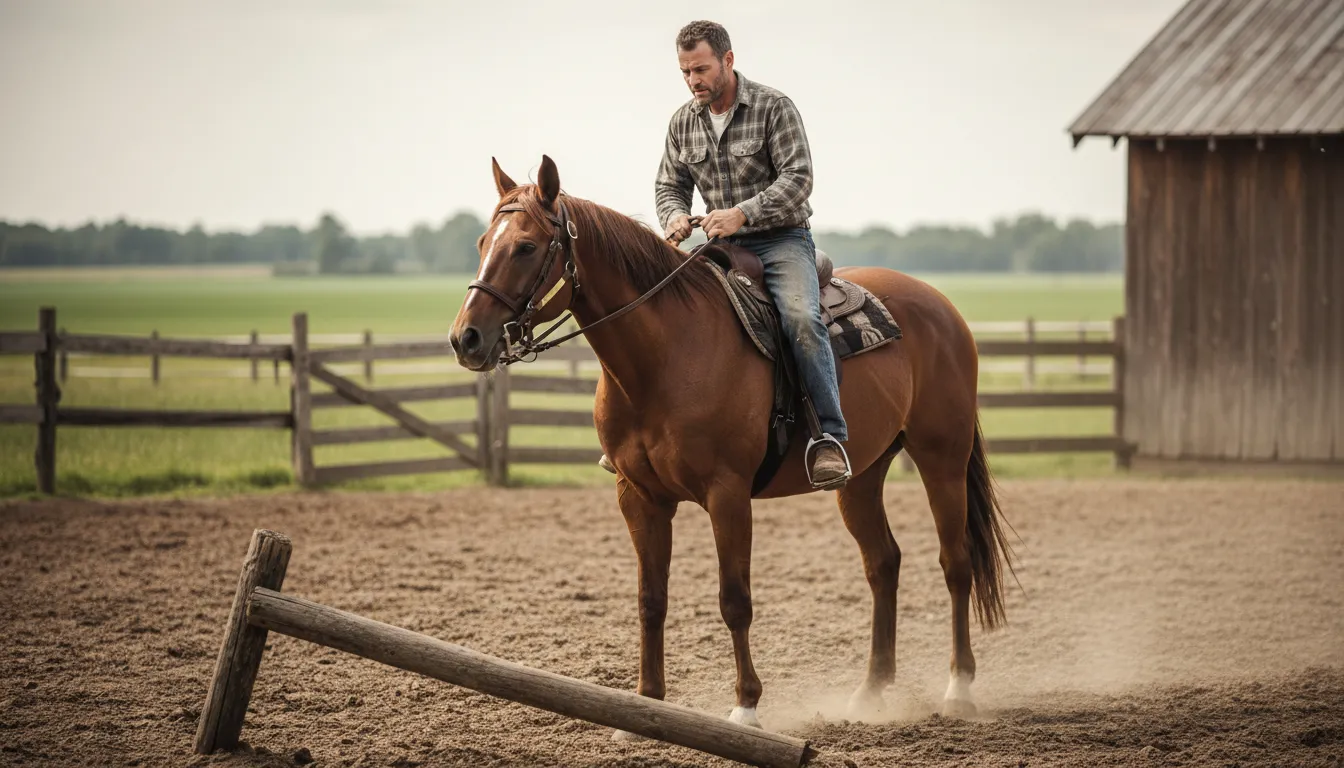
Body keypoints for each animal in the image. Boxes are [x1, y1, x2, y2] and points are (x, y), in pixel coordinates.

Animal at [449, 155, 1016, 732]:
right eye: (481, 241)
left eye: (526, 247)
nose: (465, 338)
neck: (664, 357)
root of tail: (940, 307)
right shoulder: (639, 497)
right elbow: (651, 599)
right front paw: (645, 704)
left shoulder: (727, 494)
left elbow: (734, 600)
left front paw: (746, 707)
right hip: (861, 476)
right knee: (883, 563)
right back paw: (871, 691)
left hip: (941, 457)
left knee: (956, 563)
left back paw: (958, 689)